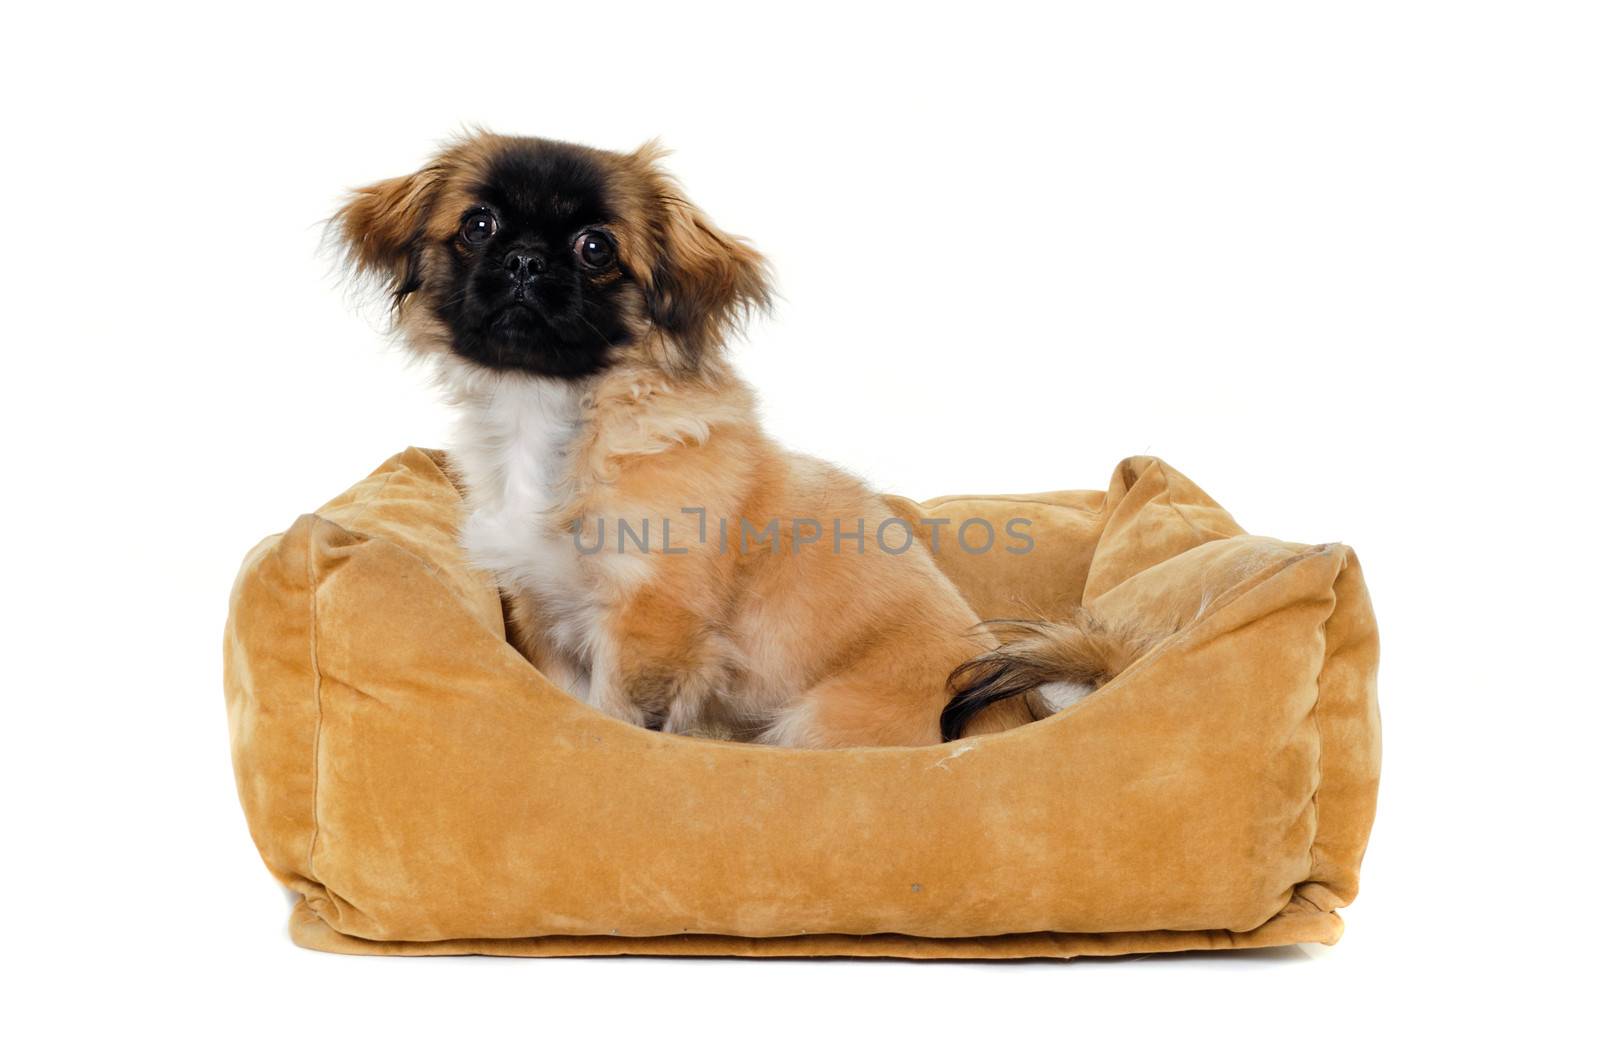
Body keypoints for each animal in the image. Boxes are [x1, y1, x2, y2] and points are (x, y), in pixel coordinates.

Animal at [334, 130, 1139, 746]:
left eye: (596, 248)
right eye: (478, 227)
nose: (527, 259)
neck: (561, 415)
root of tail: (1023, 719)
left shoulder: (649, 626)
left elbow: (618, 717)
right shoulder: (545, 617)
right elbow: (568, 704)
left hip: (817, 721)